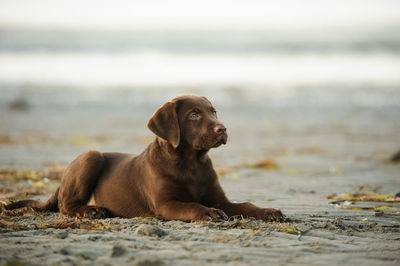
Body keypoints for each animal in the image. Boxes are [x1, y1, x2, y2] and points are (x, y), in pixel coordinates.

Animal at [3, 95, 284, 222]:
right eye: (194, 115)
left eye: (213, 112)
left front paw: (269, 211)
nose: (222, 128)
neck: (191, 163)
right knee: (66, 205)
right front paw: (209, 213)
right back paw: (92, 210)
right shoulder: (166, 204)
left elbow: (245, 205)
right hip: (91, 156)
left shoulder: (219, 197)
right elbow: (192, 206)